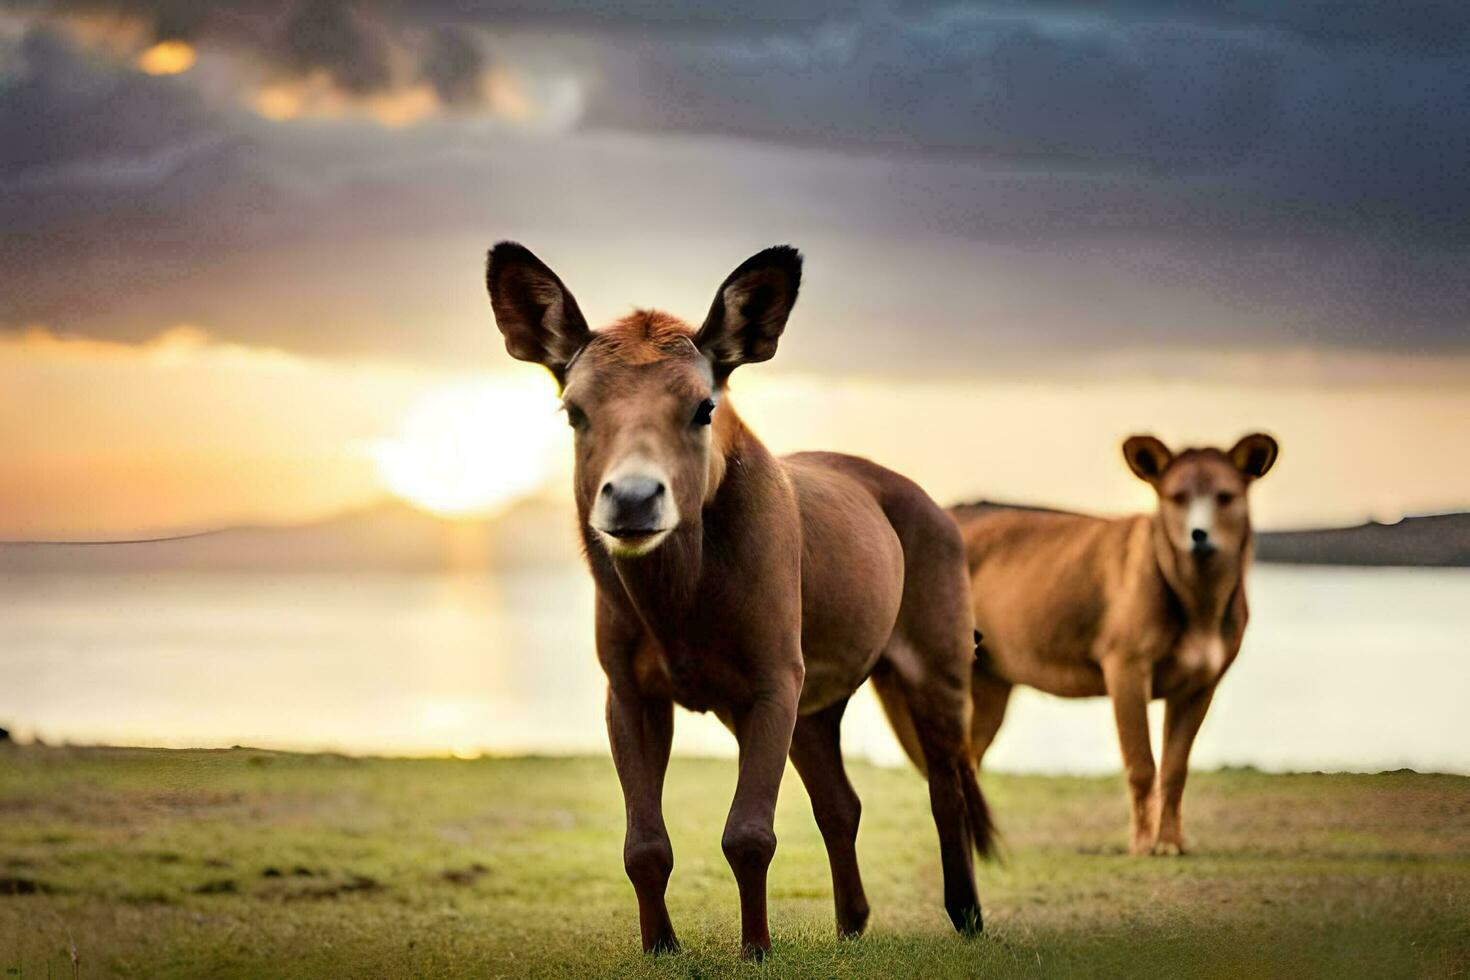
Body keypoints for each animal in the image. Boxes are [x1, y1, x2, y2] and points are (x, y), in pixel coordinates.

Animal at [488, 240, 993, 952]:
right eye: (574, 411)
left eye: (703, 407)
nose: (634, 498)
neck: (678, 601)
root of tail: (933, 507)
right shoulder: (630, 690)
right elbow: (644, 845)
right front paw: (661, 946)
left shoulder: (773, 676)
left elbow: (749, 835)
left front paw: (756, 948)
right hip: (818, 704)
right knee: (841, 804)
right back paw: (851, 926)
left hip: (938, 664)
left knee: (947, 791)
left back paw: (966, 915)